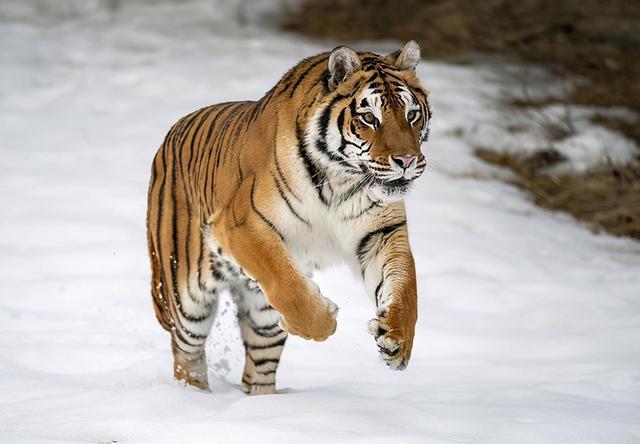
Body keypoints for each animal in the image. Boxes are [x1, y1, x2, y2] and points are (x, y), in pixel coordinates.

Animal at [146, 40, 430, 396]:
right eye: (369, 117)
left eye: (412, 114)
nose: (407, 161)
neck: (342, 179)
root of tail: (171, 133)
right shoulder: (242, 224)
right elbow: (288, 286)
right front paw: (326, 319)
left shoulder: (381, 232)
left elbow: (405, 287)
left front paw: (397, 341)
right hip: (186, 297)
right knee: (186, 353)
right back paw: (193, 396)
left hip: (261, 315)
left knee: (259, 366)